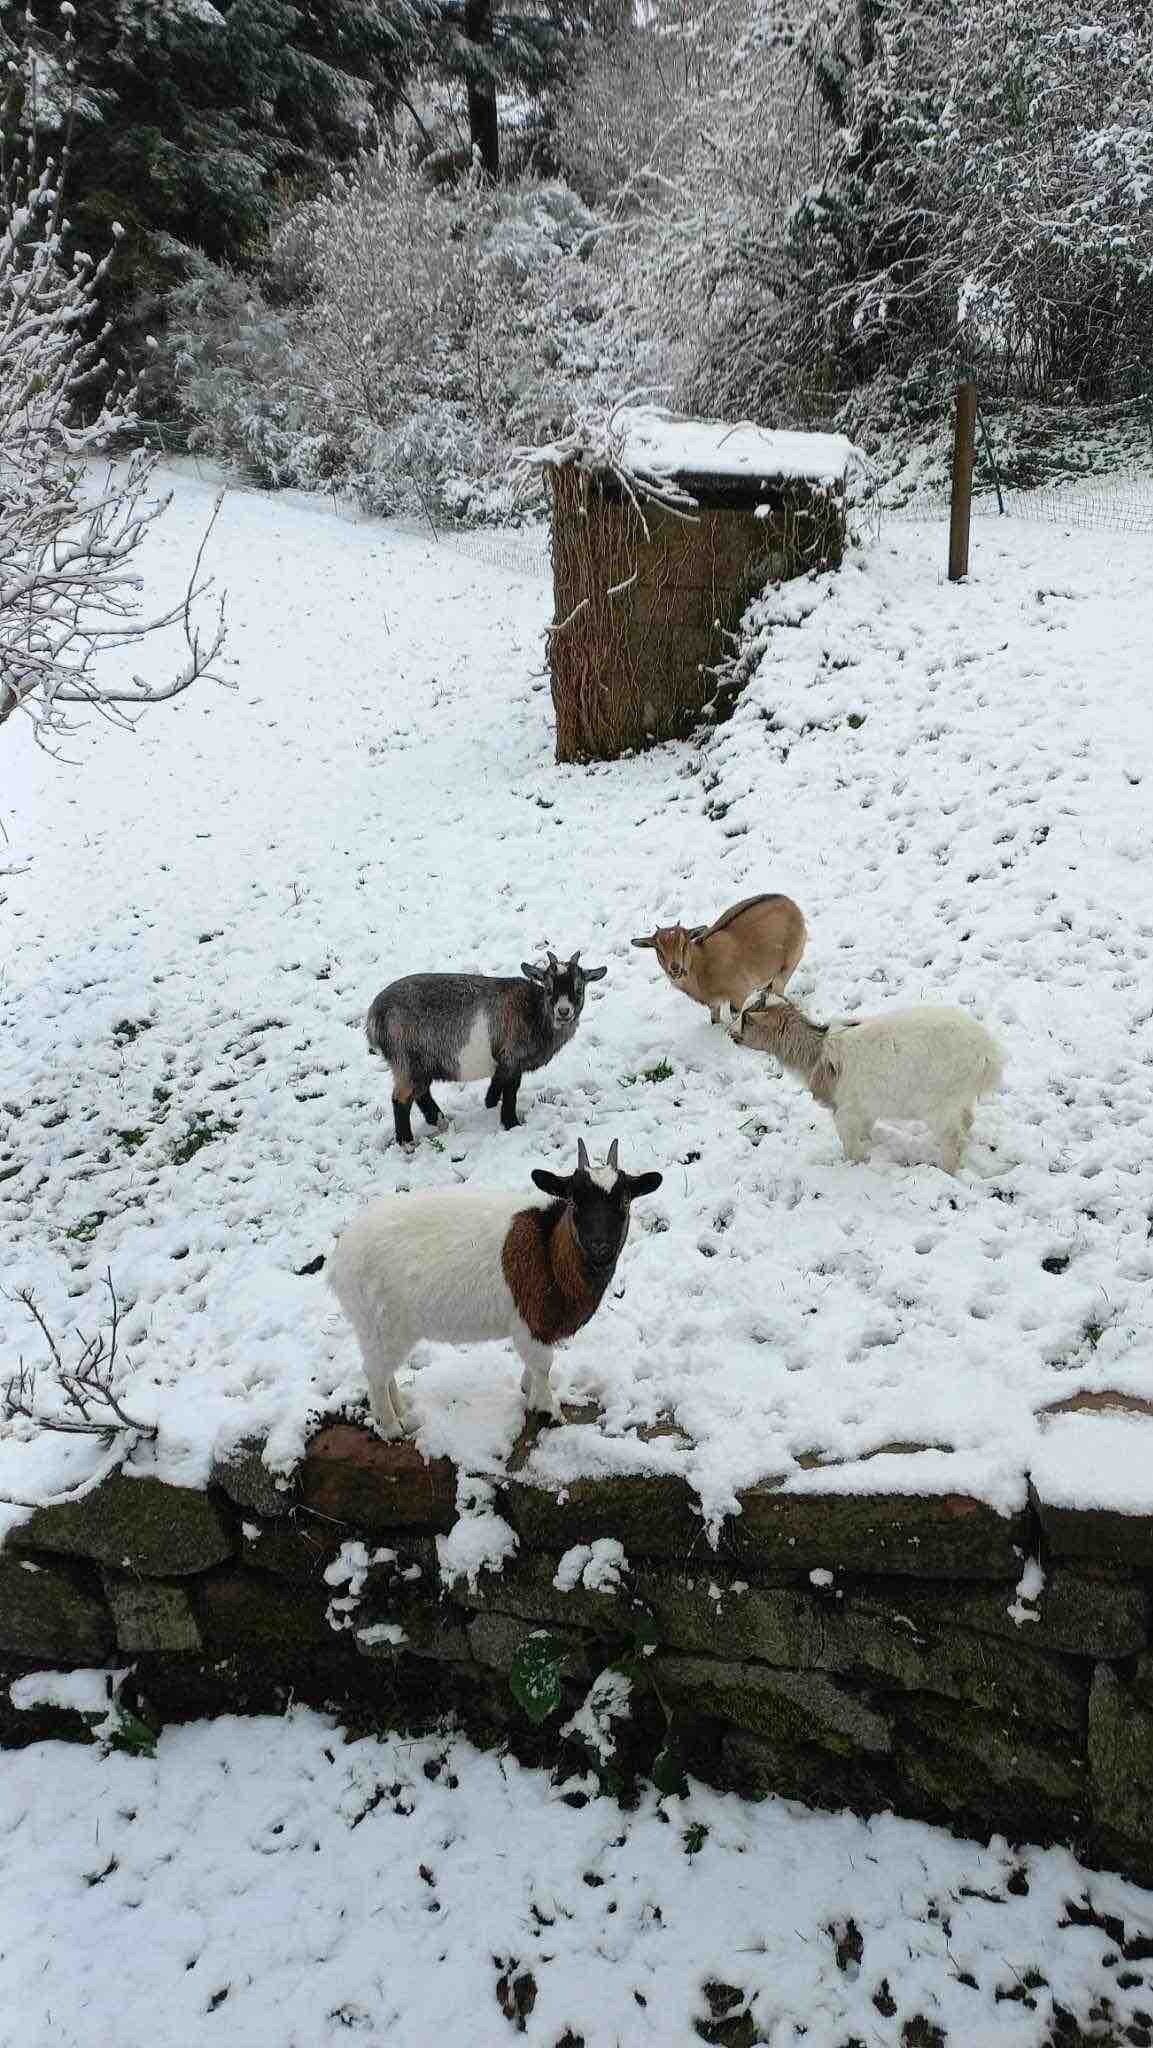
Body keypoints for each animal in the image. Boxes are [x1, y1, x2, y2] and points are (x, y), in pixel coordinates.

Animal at [329, 1138, 663, 1441]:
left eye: (624, 1200)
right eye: (573, 1200)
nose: (600, 1247)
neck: (550, 1251)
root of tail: (339, 1259)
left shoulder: (537, 1328)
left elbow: (534, 1366)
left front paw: (528, 1392)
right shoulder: (532, 1321)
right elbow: (543, 1365)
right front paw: (550, 1412)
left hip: (379, 1330)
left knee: (382, 1370)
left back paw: (401, 1411)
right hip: (382, 1325)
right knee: (375, 1373)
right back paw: (391, 1427)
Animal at [368, 950, 606, 1146]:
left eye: (579, 988)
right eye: (549, 988)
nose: (563, 1011)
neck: (534, 1012)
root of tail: (375, 1016)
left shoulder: (507, 1063)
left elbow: (499, 1084)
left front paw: (490, 1101)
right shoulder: (511, 1058)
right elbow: (511, 1091)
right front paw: (511, 1123)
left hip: (420, 1065)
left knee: (420, 1092)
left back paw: (440, 1121)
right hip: (406, 1061)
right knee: (401, 1099)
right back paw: (407, 1143)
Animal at [630, 897, 810, 1024]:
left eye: (684, 944)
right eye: (658, 949)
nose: (675, 968)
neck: (701, 965)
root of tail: (791, 903)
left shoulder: (739, 992)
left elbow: (735, 1017)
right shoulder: (713, 1003)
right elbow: (714, 1020)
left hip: (789, 963)